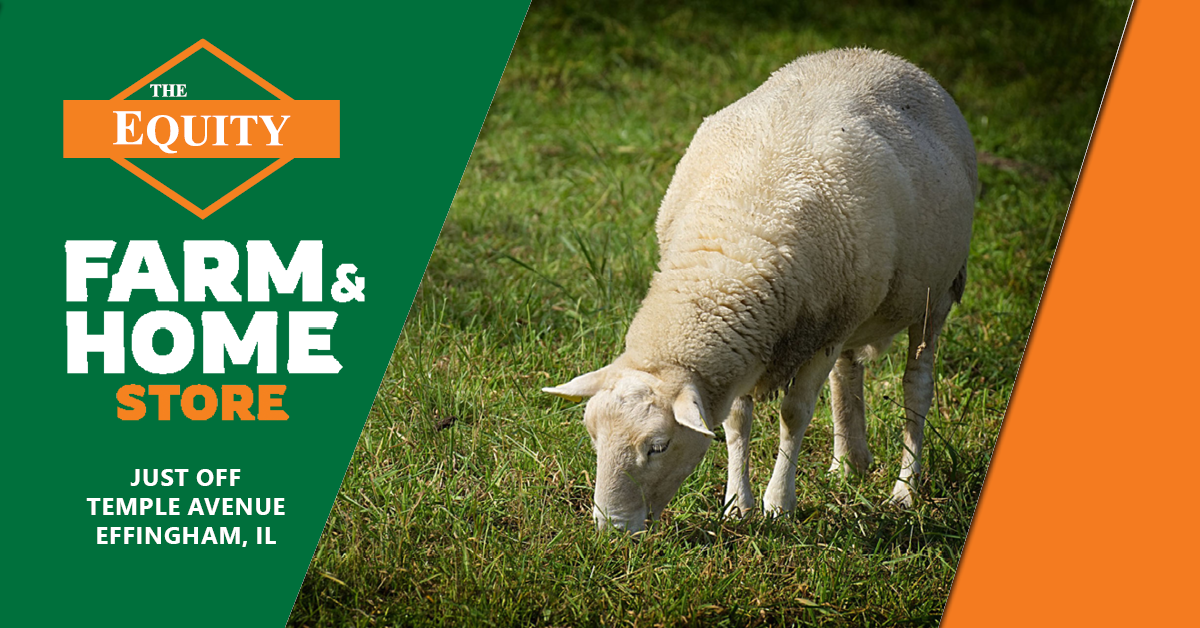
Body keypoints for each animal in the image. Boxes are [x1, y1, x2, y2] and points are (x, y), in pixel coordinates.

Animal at [543, 48, 977, 533]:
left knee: (915, 387)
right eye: (592, 435)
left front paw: (778, 503)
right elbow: (736, 420)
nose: (610, 529)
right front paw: (737, 503)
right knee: (848, 374)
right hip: (858, 308)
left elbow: (794, 414)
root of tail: (880, 55)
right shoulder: (752, 344)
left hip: (937, 293)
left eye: (658, 446)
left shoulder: (821, 336)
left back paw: (904, 490)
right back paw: (849, 464)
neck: (732, 248)